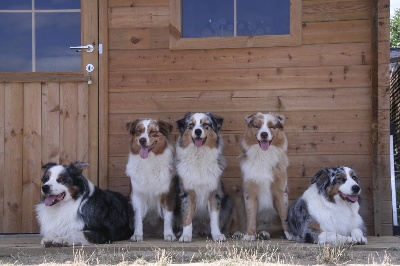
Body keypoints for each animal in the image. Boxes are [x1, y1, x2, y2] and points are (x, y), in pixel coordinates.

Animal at [175, 111, 234, 242]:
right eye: (191, 125)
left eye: (206, 124)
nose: (197, 131)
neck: (199, 155)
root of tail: (201, 230)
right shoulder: (187, 193)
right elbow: (187, 216)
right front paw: (185, 236)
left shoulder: (214, 193)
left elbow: (214, 218)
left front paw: (217, 235)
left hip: (228, 202)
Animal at [238, 112, 290, 241]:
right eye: (257, 126)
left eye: (271, 126)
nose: (264, 134)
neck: (263, 156)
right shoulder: (249, 190)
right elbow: (251, 215)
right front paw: (249, 234)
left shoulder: (281, 190)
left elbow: (284, 213)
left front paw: (290, 233)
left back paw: (264, 233)